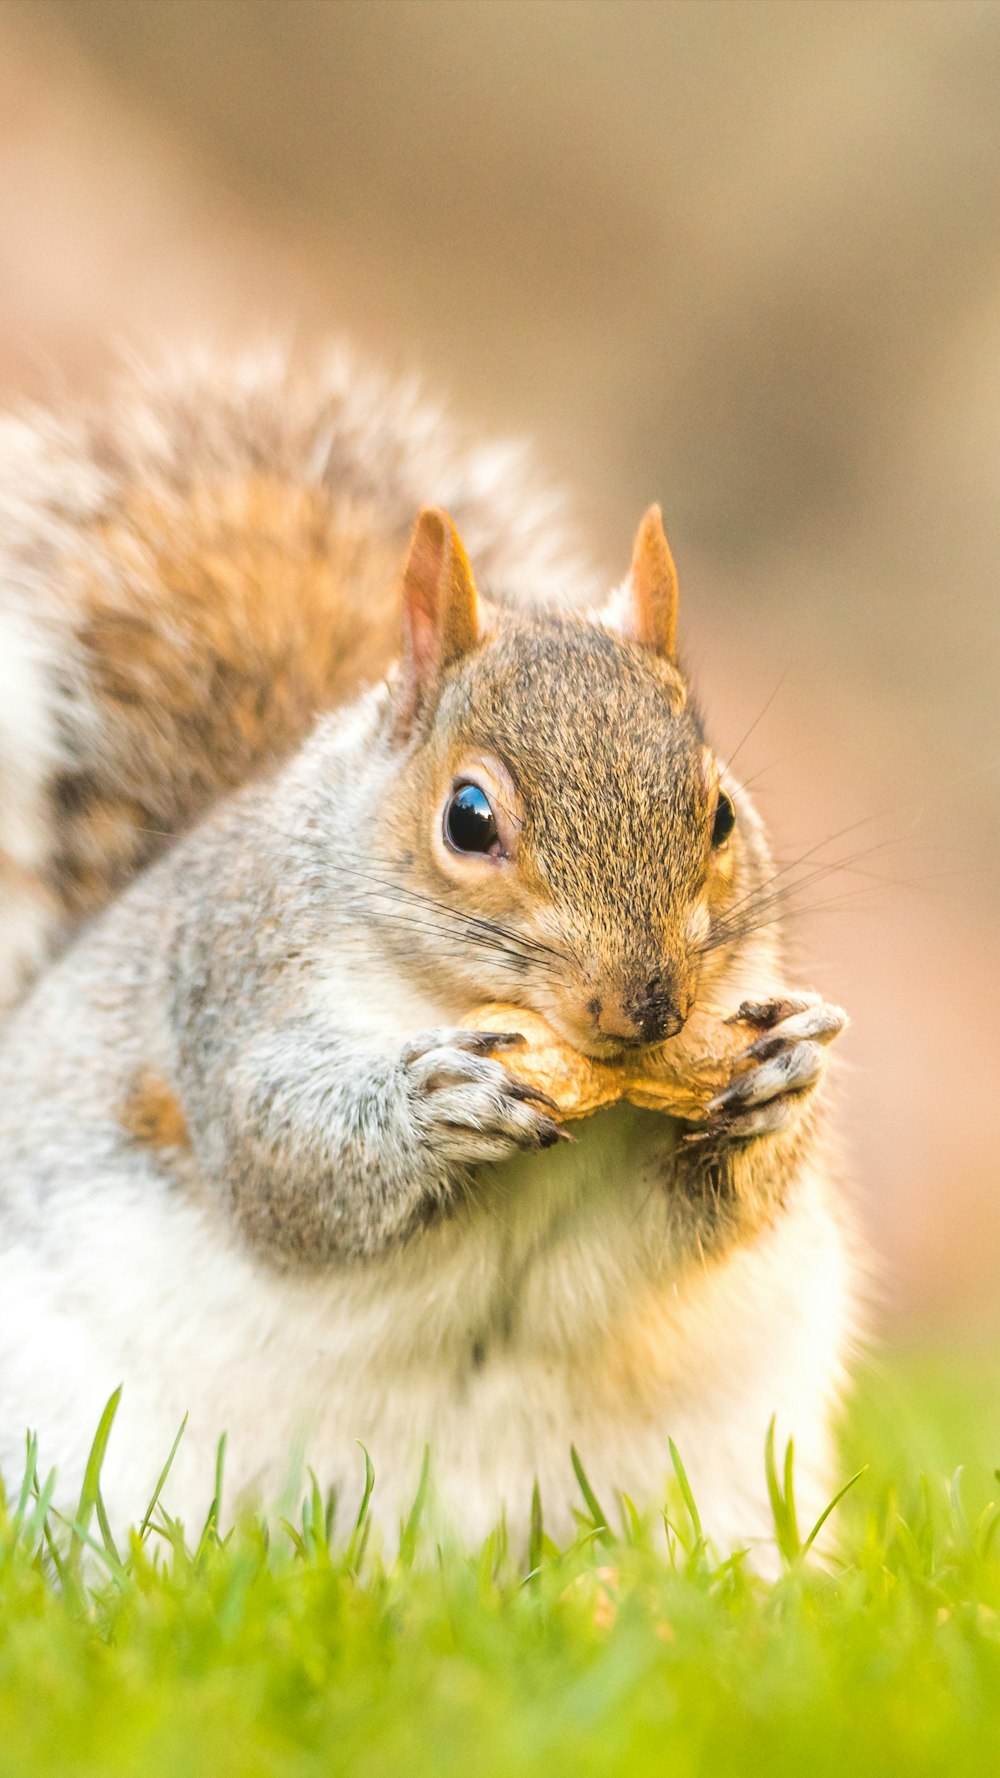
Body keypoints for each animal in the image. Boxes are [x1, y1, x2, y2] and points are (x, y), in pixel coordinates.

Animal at [1, 343, 857, 1557]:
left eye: (722, 814)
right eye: (468, 817)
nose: (645, 1009)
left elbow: (710, 1213)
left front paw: (784, 1075)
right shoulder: (229, 988)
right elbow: (283, 1162)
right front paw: (430, 1103)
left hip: (724, 1469)